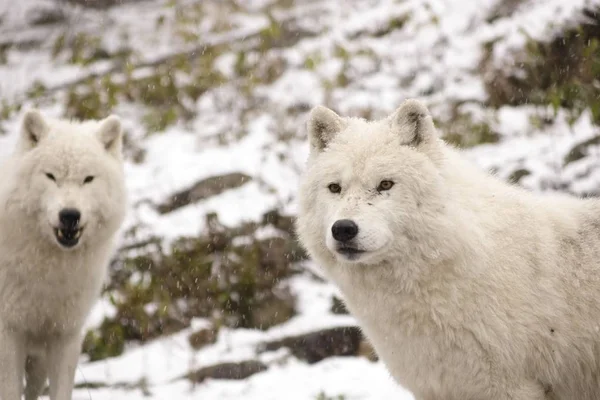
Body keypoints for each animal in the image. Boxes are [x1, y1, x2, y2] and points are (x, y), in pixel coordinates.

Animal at [0, 109, 126, 400]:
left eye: (88, 179)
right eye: (51, 176)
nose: (70, 215)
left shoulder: (65, 335)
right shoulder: (9, 333)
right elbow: (9, 390)